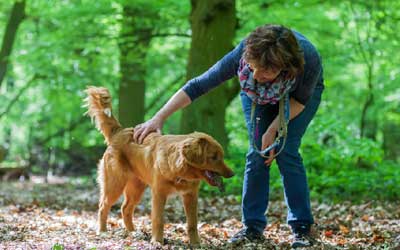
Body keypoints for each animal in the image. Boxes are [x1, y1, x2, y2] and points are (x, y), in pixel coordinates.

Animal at [84, 86, 234, 244]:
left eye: (221, 156)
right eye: (214, 157)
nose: (232, 174)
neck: (179, 170)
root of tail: (120, 132)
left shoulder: (191, 195)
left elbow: (192, 223)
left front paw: (195, 243)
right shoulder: (158, 193)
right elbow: (158, 219)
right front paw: (157, 241)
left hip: (136, 187)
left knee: (125, 208)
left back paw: (133, 232)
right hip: (115, 184)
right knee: (103, 206)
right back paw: (102, 231)